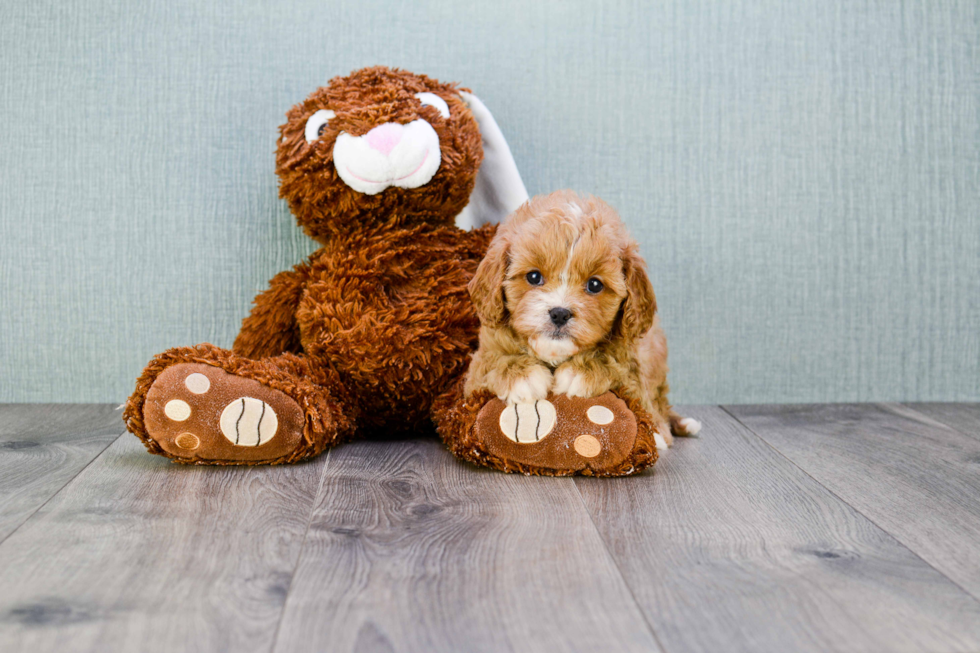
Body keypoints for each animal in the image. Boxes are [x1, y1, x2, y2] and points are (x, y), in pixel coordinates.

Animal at [466, 188, 696, 444]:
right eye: (534, 277)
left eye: (595, 285)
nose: (559, 313)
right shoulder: (477, 367)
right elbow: (491, 360)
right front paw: (522, 375)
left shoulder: (633, 356)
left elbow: (624, 369)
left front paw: (580, 371)